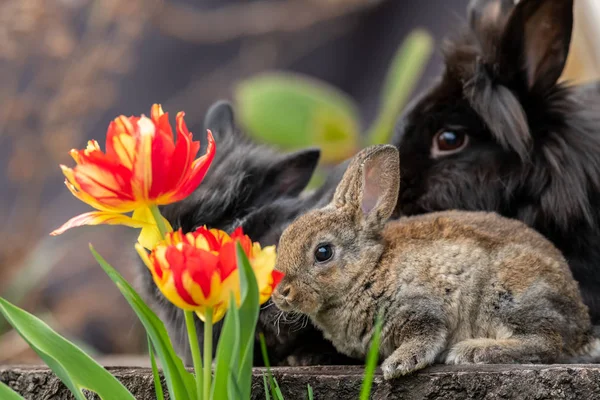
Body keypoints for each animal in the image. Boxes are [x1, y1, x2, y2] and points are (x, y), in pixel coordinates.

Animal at [274, 144, 596, 378]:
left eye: (323, 252)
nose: (280, 293)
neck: (368, 271)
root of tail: (582, 326)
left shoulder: (421, 308)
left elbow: (426, 336)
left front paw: (398, 365)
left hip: (508, 296)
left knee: (547, 344)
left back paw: (471, 352)